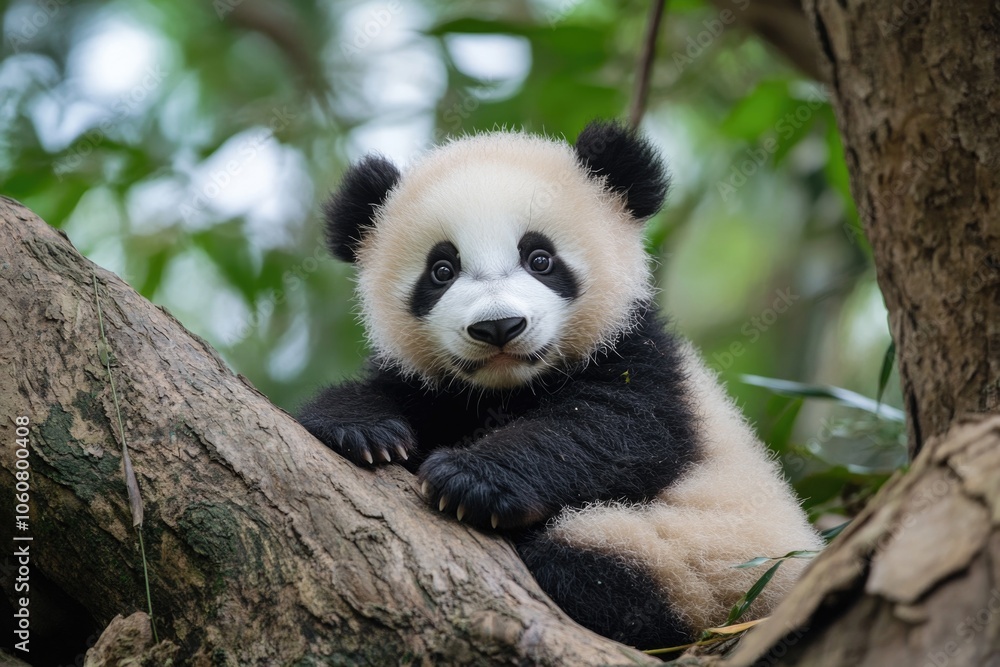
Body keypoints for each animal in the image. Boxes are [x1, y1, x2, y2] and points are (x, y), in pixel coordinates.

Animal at [298, 120, 823, 650]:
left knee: (595, 570)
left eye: (540, 259)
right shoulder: (443, 389)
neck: (509, 388)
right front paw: (367, 432)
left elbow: (612, 429)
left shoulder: (644, 362)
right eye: (441, 270)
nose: (498, 327)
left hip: (711, 559)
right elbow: (392, 396)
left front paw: (467, 478)